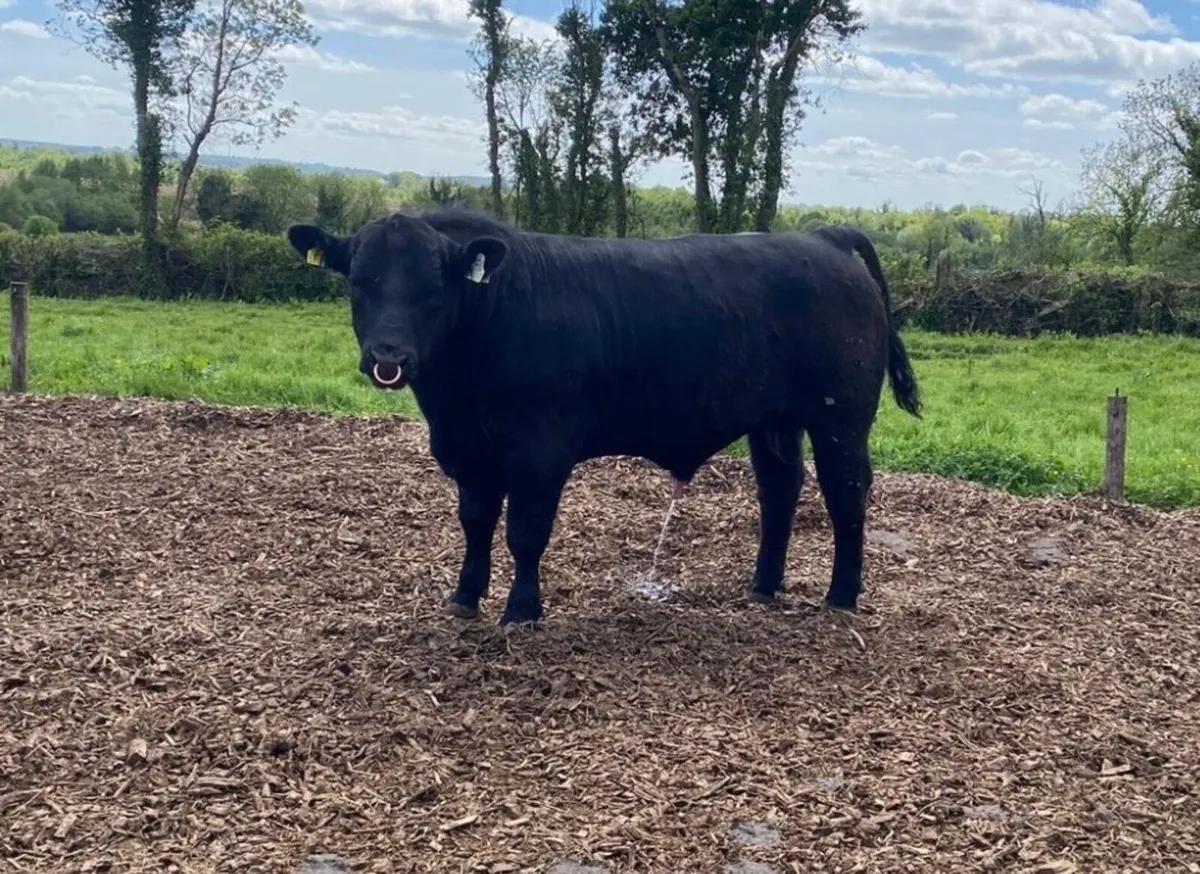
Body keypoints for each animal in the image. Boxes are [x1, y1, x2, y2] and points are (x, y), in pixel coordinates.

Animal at [286, 209, 922, 626]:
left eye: (432, 286)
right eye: (359, 281)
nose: (388, 356)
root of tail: (822, 237)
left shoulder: (538, 452)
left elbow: (524, 532)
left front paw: (521, 611)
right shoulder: (468, 450)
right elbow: (476, 523)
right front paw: (465, 597)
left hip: (841, 416)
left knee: (846, 492)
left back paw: (842, 597)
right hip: (774, 419)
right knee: (780, 490)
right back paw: (763, 586)